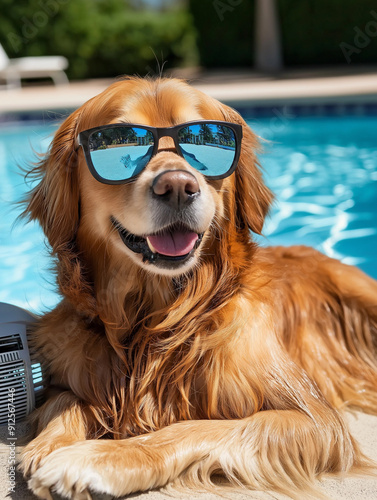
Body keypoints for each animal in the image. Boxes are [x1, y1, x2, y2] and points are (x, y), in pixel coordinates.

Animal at [19, 76, 376, 498]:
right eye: (119, 140)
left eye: (202, 138)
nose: (177, 186)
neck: (155, 322)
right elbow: (66, 401)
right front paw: (49, 445)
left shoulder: (314, 420)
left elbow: (191, 428)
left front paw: (96, 458)